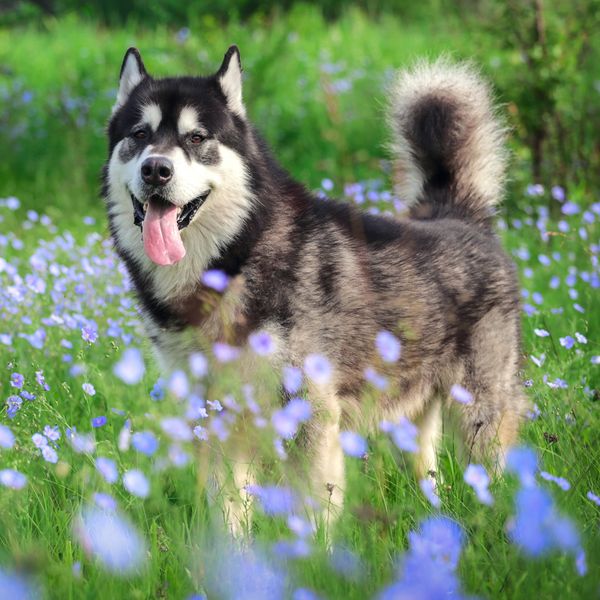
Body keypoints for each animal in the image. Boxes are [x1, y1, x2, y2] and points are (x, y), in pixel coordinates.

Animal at [103, 47, 524, 532]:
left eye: (196, 138)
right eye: (139, 134)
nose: (156, 169)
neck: (236, 259)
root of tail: (454, 215)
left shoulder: (310, 416)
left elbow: (312, 513)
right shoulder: (216, 417)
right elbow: (228, 517)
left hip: (479, 417)